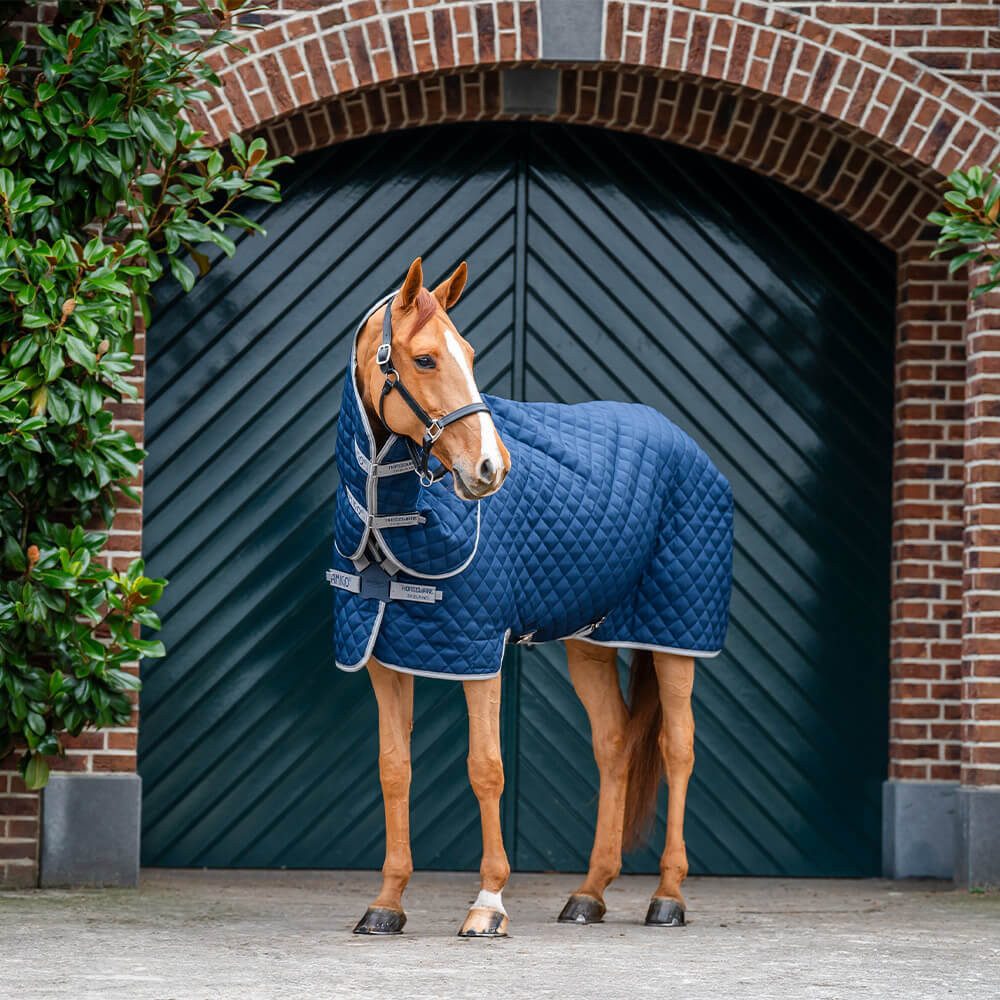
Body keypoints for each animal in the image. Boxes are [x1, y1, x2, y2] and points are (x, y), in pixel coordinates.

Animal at [328, 257, 734, 936]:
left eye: (467, 353)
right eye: (425, 359)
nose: (492, 469)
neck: (391, 518)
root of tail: (689, 447)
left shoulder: (477, 652)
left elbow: (486, 768)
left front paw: (487, 903)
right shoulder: (386, 655)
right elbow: (394, 769)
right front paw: (385, 904)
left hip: (676, 637)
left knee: (678, 747)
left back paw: (669, 897)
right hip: (591, 641)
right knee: (615, 746)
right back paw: (589, 894)